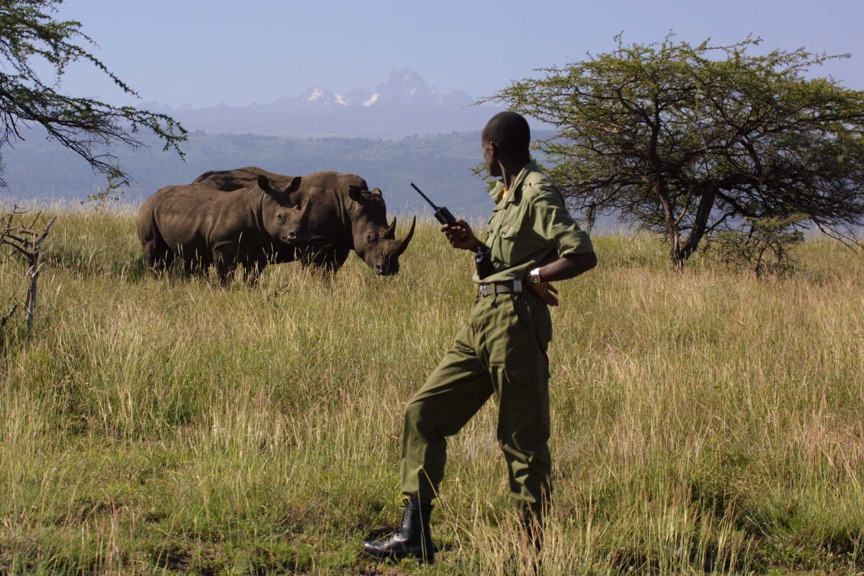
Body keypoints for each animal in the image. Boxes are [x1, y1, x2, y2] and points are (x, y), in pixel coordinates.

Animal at [135, 174, 310, 284]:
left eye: (297, 209)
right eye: (279, 217)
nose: (296, 235)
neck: (259, 204)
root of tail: (151, 196)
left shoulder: (260, 248)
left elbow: (253, 276)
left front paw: (249, 291)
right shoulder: (223, 244)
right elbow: (225, 274)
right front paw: (224, 292)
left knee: (173, 255)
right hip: (149, 210)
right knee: (153, 248)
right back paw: (153, 282)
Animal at [192, 168, 416, 276]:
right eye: (369, 238)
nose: (389, 270)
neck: (351, 206)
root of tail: (196, 180)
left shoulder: (340, 240)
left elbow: (329, 272)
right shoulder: (315, 240)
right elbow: (315, 270)